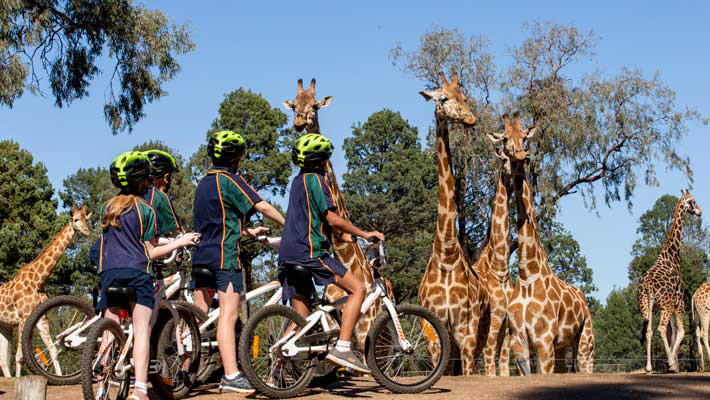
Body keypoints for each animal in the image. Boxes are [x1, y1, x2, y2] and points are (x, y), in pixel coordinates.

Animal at [0, 205, 92, 376]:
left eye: (86, 219)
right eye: (75, 219)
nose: (87, 231)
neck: (38, 280)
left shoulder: (42, 319)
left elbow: (53, 350)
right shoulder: (23, 317)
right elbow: (19, 356)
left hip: (4, 326)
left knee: (3, 360)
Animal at [284, 78, 394, 350]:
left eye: (315, 105)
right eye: (294, 105)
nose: (299, 123)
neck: (345, 262)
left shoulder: (365, 329)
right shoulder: (333, 325)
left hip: (382, 336)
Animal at [490, 113, 596, 376]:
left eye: (524, 136)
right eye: (505, 138)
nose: (520, 155)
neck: (527, 275)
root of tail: (583, 298)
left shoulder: (543, 340)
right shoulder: (519, 341)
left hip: (585, 341)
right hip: (563, 346)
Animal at [640, 190, 708, 372]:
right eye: (692, 201)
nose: (699, 211)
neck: (672, 256)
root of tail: (648, 286)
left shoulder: (668, 304)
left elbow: (673, 332)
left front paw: (672, 363)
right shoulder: (678, 301)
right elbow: (681, 331)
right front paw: (672, 363)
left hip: (646, 305)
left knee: (649, 330)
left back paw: (649, 367)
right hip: (666, 304)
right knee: (661, 328)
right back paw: (669, 362)